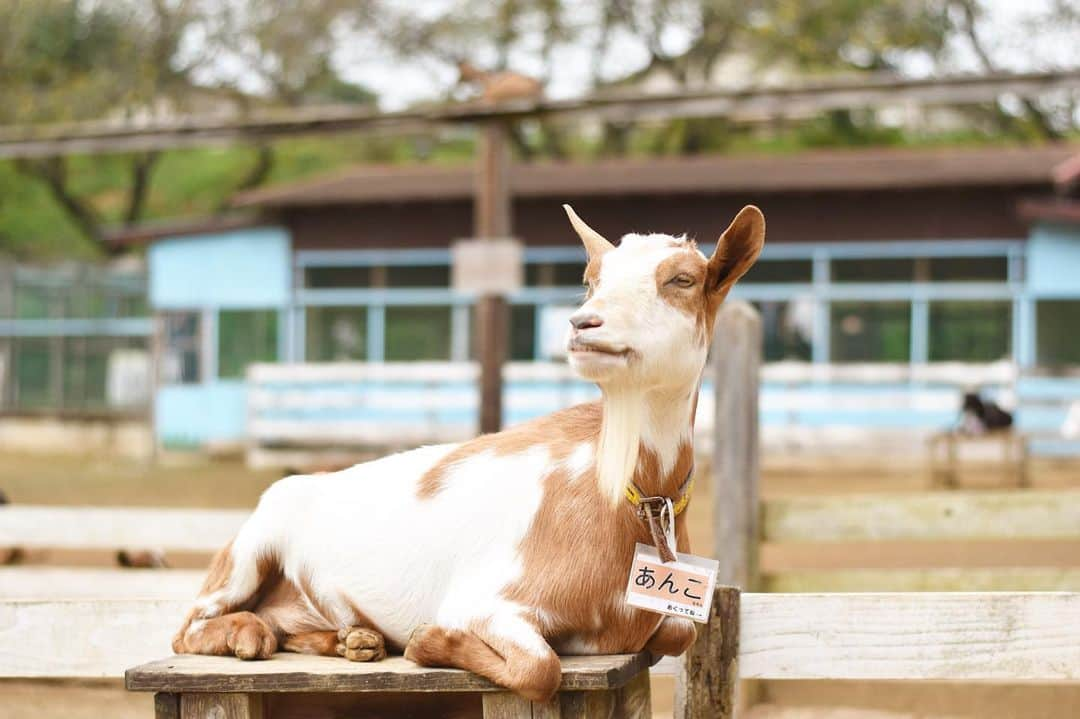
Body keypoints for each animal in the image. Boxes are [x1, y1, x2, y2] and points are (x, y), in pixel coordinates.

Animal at [172, 201, 764, 699]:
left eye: (682, 279)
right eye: (591, 281)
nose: (583, 324)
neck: (627, 501)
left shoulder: (666, 615)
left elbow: (678, 632)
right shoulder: (485, 601)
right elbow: (541, 667)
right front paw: (427, 642)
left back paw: (351, 639)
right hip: (252, 546)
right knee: (189, 628)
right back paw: (248, 634)